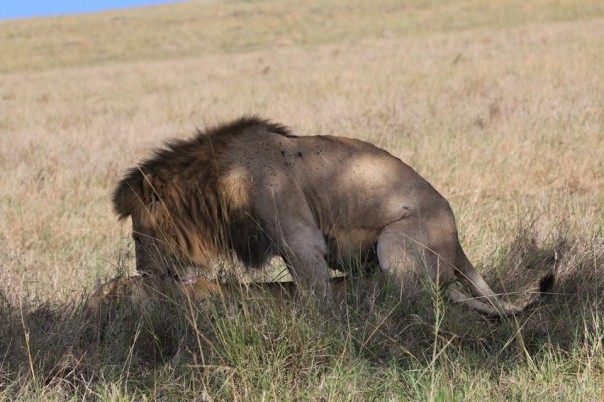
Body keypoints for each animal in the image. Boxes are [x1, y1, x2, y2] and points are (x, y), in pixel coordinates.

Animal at [112, 116, 550, 316]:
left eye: (137, 238)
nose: (142, 273)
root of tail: (458, 245)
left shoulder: (300, 238)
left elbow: (314, 295)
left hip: (395, 242)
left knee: (422, 298)